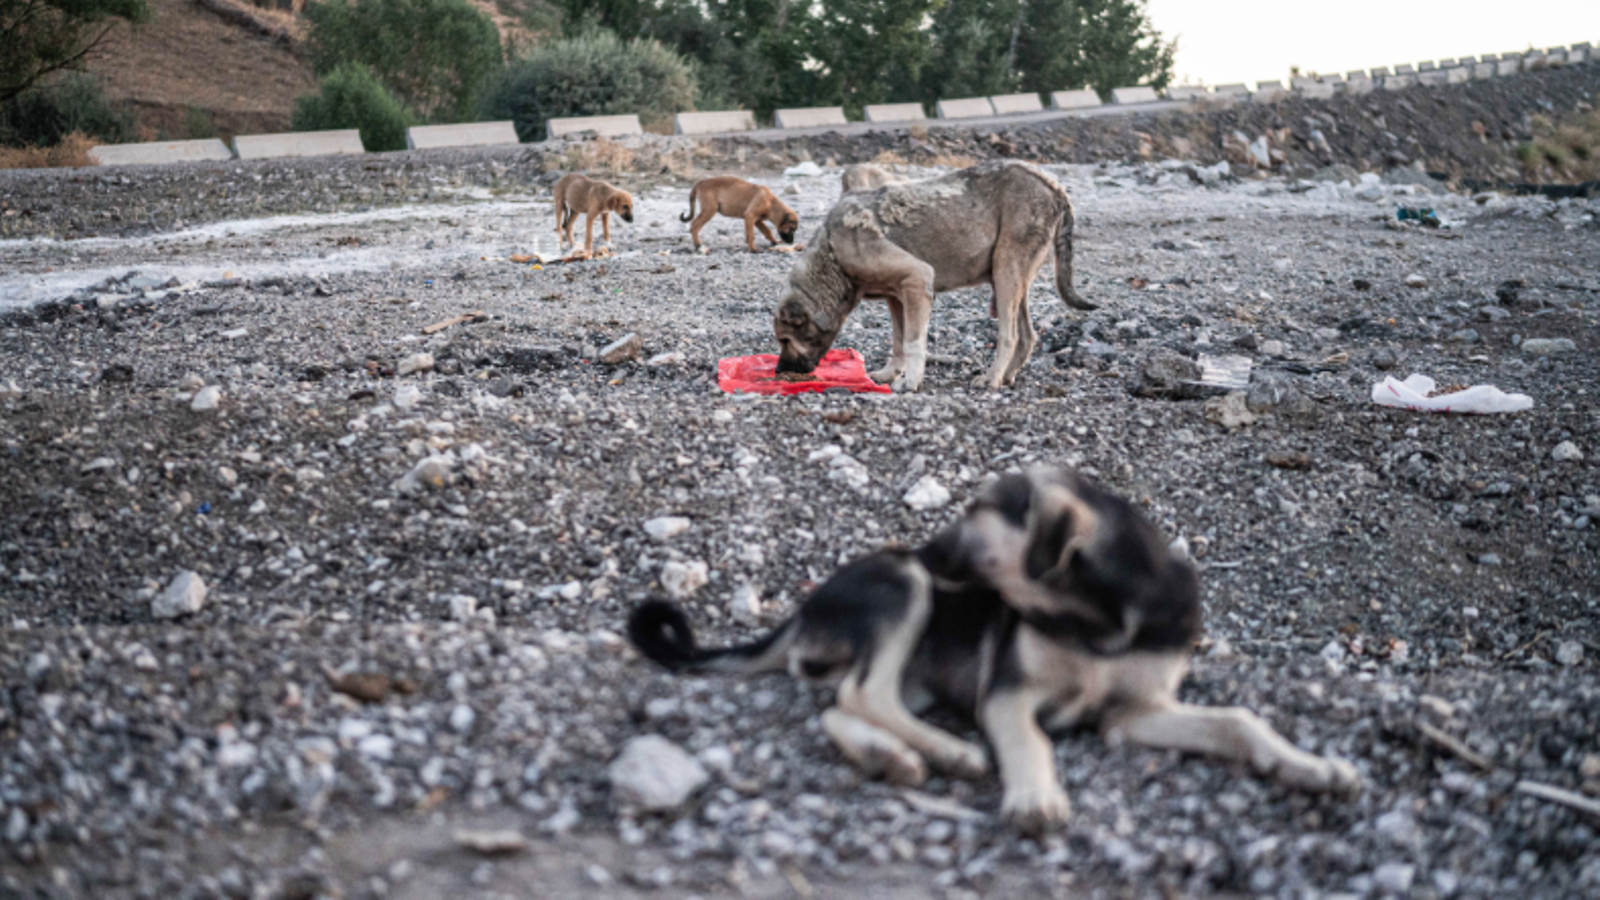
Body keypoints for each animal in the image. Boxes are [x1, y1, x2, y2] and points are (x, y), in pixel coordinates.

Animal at [630, 464, 1356, 832]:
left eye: (977, 512)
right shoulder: (1008, 695)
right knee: (863, 690)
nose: (924, 547)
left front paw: (1313, 768)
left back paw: (895, 755)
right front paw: (1035, 797)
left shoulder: (1136, 712)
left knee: (842, 701)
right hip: (904, 590)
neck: (1098, 626)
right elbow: (1031, 739)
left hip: (919, 658)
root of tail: (805, 609)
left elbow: (1238, 720)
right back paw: (949, 750)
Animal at [774, 157, 1100, 389]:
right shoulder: (897, 297)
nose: (778, 371)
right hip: (1013, 279)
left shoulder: (918, 279)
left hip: (1006, 271)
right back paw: (1007, 376)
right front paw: (891, 373)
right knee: (1028, 335)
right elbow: (898, 340)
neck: (832, 256)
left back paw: (992, 378)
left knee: (1009, 335)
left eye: (785, 340)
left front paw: (910, 381)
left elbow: (914, 341)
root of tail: (1053, 184)